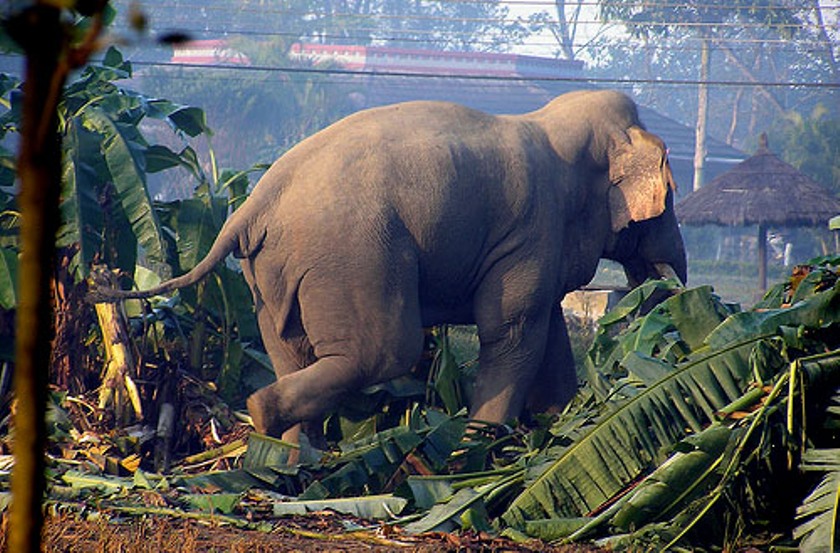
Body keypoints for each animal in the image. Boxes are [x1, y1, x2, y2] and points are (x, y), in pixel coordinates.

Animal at [95, 90, 684, 442]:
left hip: (272, 273)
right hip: (354, 255)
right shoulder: (531, 227)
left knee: (289, 348)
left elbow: (546, 327)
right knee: (385, 350)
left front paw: (556, 426)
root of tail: (251, 206)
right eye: (671, 194)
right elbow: (513, 327)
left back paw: (287, 454)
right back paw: (265, 415)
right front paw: (480, 443)